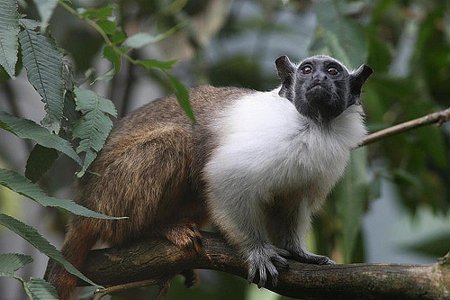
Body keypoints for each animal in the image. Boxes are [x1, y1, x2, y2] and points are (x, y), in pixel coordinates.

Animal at [44, 55, 372, 298]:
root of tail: (84, 203)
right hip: (109, 196)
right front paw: (256, 250)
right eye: (307, 70)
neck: (313, 126)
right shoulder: (266, 142)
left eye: (333, 71)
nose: (320, 79)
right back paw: (154, 229)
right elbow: (224, 180)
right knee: (175, 142)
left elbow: (291, 205)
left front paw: (298, 251)